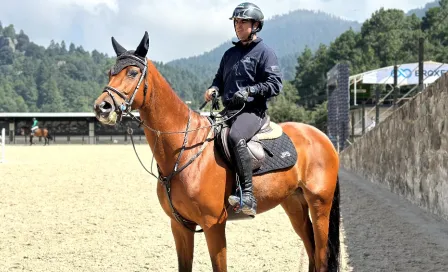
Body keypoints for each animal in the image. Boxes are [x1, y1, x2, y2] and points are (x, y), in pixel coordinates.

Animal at [93, 30, 342, 270]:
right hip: (294, 205)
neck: (184, 151)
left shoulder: (213, 225)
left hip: (320, 205)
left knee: (321, 256)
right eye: (110, 72)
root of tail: (322, 137)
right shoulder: (180, 226)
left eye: (133, 73)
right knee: (311, 251)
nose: (102, 107)